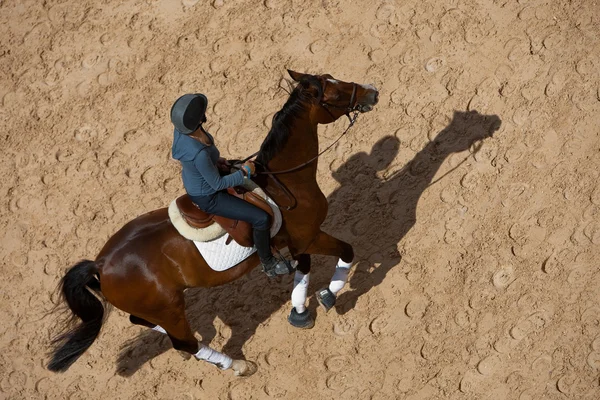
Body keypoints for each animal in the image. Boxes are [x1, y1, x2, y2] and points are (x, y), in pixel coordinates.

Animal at [50, 71, 380, 376]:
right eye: (334, 93)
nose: (373, 91)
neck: (285, 181)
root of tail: (100, 263)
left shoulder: (298, 241)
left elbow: (304, 270)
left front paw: (300, 312)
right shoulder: (310, 236)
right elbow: (347, 251)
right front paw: (329, 295)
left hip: (158, 307)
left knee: (146, 323)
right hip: (169, 308)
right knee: (186, 343)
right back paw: (237, 365)